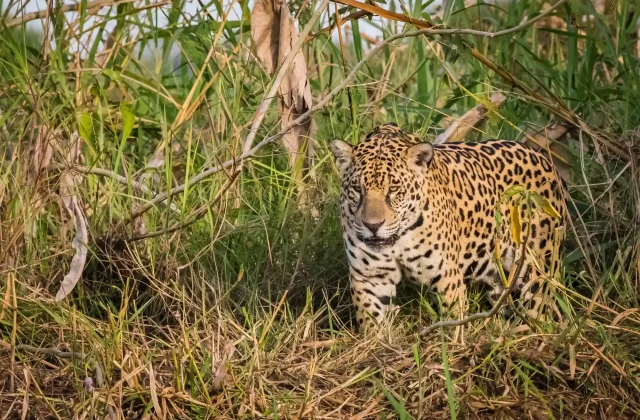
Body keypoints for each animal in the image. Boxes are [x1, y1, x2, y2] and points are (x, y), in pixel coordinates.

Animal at [330, 123, 568, 330]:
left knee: (539, 308)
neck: (398, 239)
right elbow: (371, 320)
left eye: (394, 190)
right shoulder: (370, 277)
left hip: (539, 267)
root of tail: (545, 159)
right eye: (357, 189)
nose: (373, 226)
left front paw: (453, 345)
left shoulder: (446, 274)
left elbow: (453, 318)